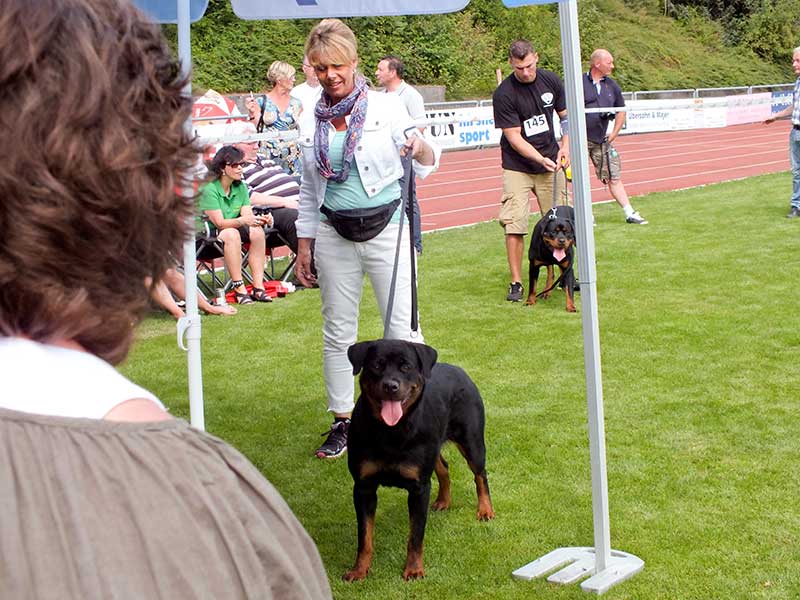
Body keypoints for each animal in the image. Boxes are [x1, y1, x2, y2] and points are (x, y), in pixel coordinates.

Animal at [344, 340, 494, 580]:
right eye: (376, 365)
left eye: (406, 367)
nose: (391, 386)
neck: (390, 432)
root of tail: (459, 370)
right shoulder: (363, 487)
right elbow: (364, 536)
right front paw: (359, 570)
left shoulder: (418, 488)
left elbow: (415, 535)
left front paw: (414, 570)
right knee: (443, 467)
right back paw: (443, 501)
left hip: (471, 441)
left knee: (480, 474)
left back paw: (485, 510)